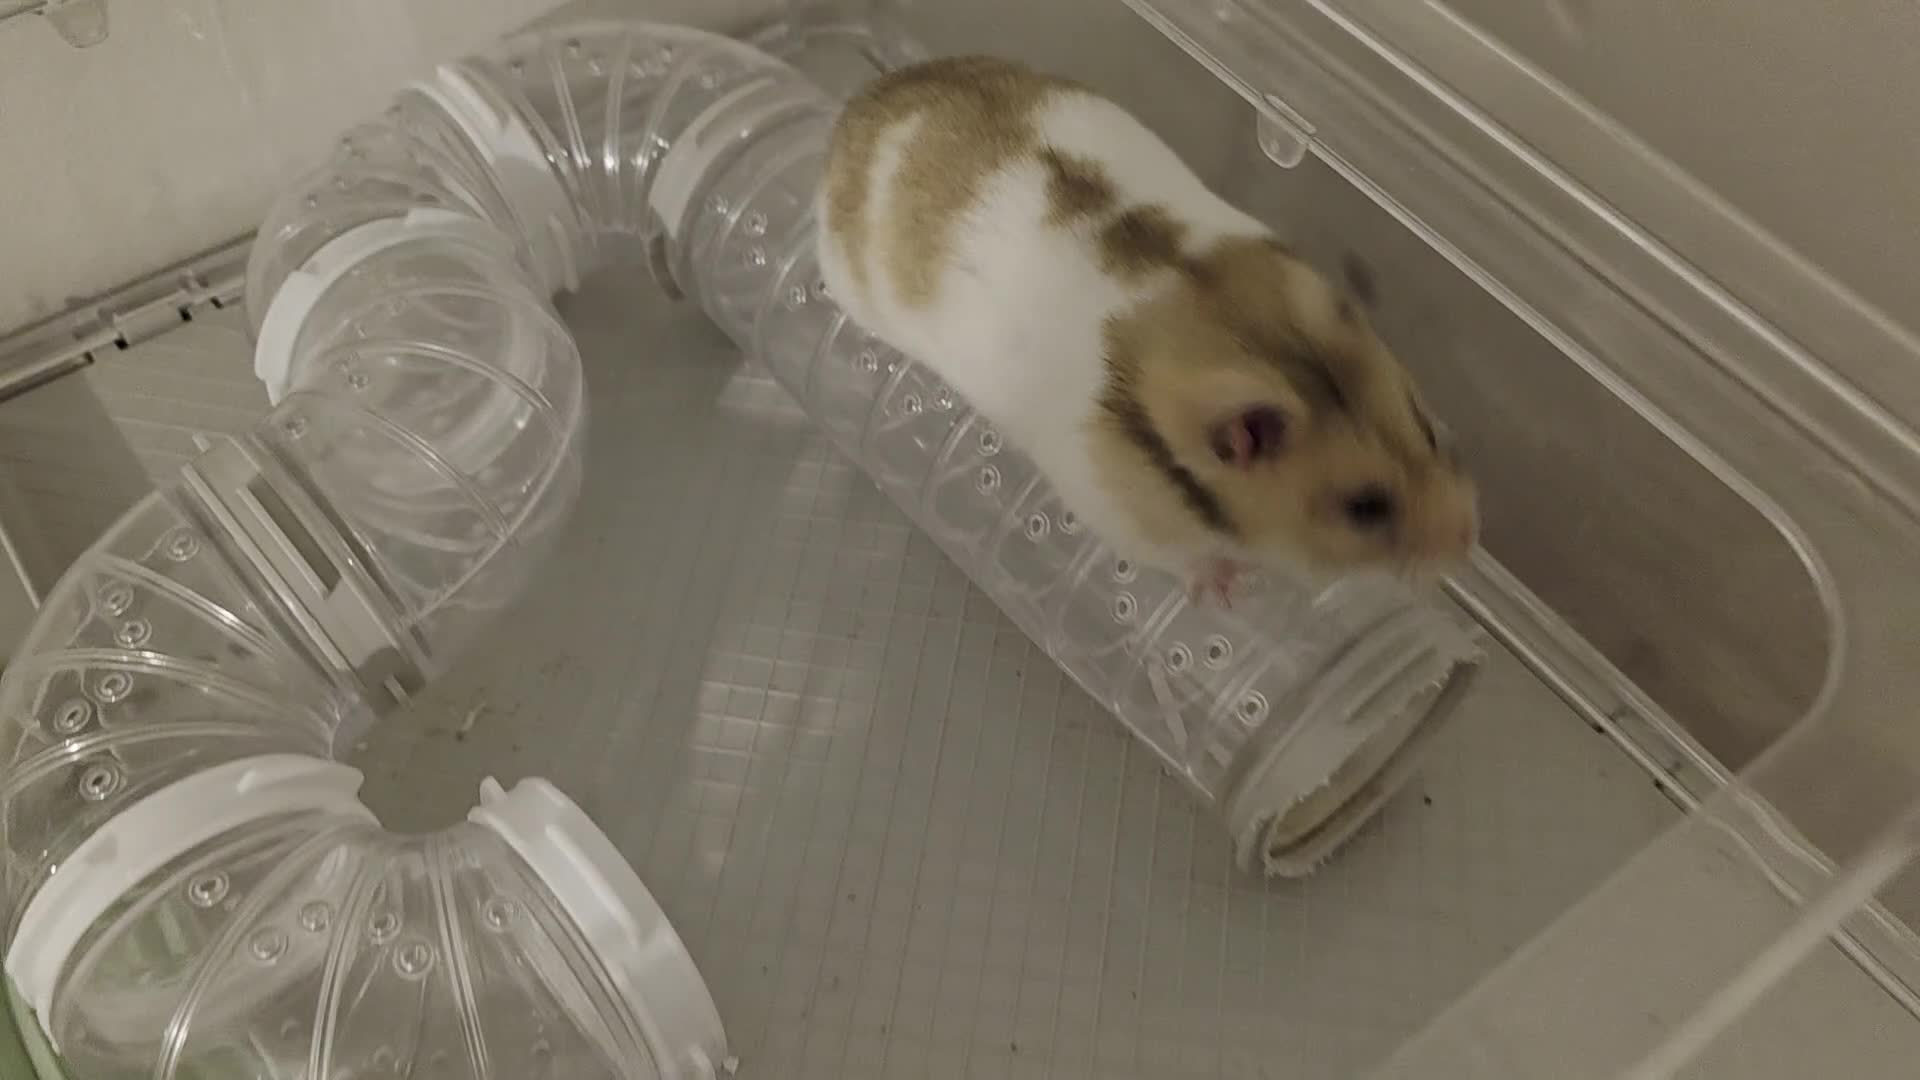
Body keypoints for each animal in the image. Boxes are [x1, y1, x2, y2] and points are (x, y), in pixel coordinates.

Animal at [816, 56, 1477, 603]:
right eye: (1366, 508)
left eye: (1428, 431)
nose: (1468, 544)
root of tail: (859, 106)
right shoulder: (1122, 517)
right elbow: (1186, 560)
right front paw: (1227, 590)